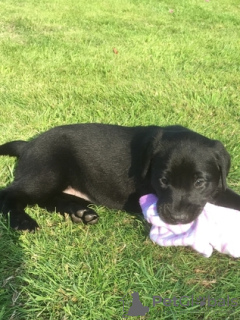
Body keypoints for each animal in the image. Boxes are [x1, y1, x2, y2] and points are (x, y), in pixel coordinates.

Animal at [0, 122, 240, 230]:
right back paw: (23, 221)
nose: (176, 219)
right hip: (46, 172)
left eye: (200, 182)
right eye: (163, 181)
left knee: (48, 199)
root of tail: (28, 145)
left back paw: (80, 213)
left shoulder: (217, 187)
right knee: (11, 194)